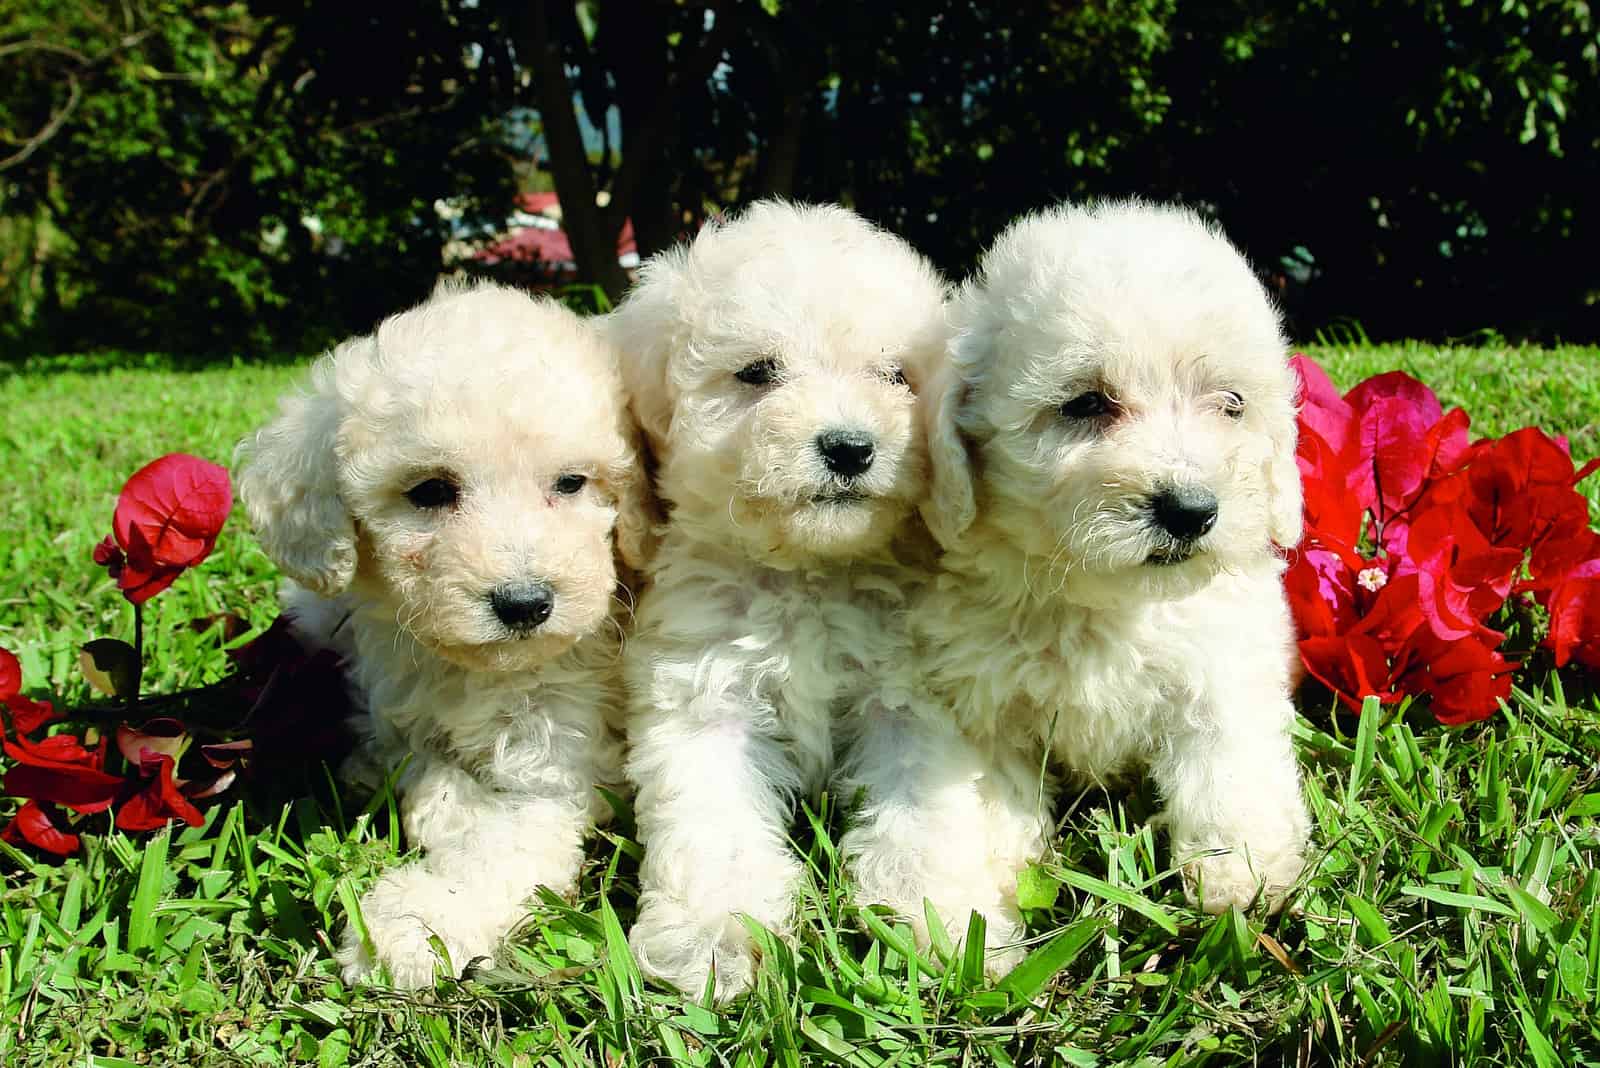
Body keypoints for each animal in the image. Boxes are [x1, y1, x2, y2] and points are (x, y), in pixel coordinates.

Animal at [230, 279, 649, 991]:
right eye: (428, 491)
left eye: (572, 483)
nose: (524, 603)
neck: (481, 670)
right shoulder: (391, 704)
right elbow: (413, 765)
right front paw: (435, 804)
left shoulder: (554, 767)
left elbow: (501, 845)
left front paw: (411, 928)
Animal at [601, 198, 947, 1004]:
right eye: (756, 372)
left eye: (896, 375)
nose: (850, 447)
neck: (809, 571)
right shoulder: (702, 694)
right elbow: (713, 826)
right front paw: (714, 940)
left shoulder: (914, 695)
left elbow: (924, 808)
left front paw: (937, 919)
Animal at [876, 198, 1312, 940]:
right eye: (1084, 404)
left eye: (1231, 404)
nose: (1192, 510)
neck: (1099, 599)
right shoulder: (985, 704)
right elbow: (994, 802)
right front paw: (988, 909)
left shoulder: (1221, 667)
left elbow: (1229, 767)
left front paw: (1241, 883)